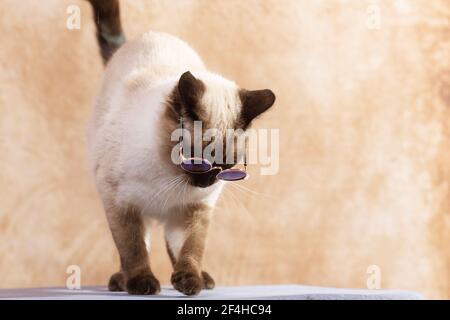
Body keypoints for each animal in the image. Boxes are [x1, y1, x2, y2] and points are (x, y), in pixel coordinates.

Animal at [86, 1, 276, 296]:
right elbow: (133, 249)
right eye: (196, 161)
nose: (207, 181)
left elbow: (190, 248)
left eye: (227, 167)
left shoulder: (193, 209)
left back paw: (202, 278)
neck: (169, 174)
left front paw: (189, 281)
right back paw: (121, 281)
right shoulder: (120, 204)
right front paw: (142, 283)